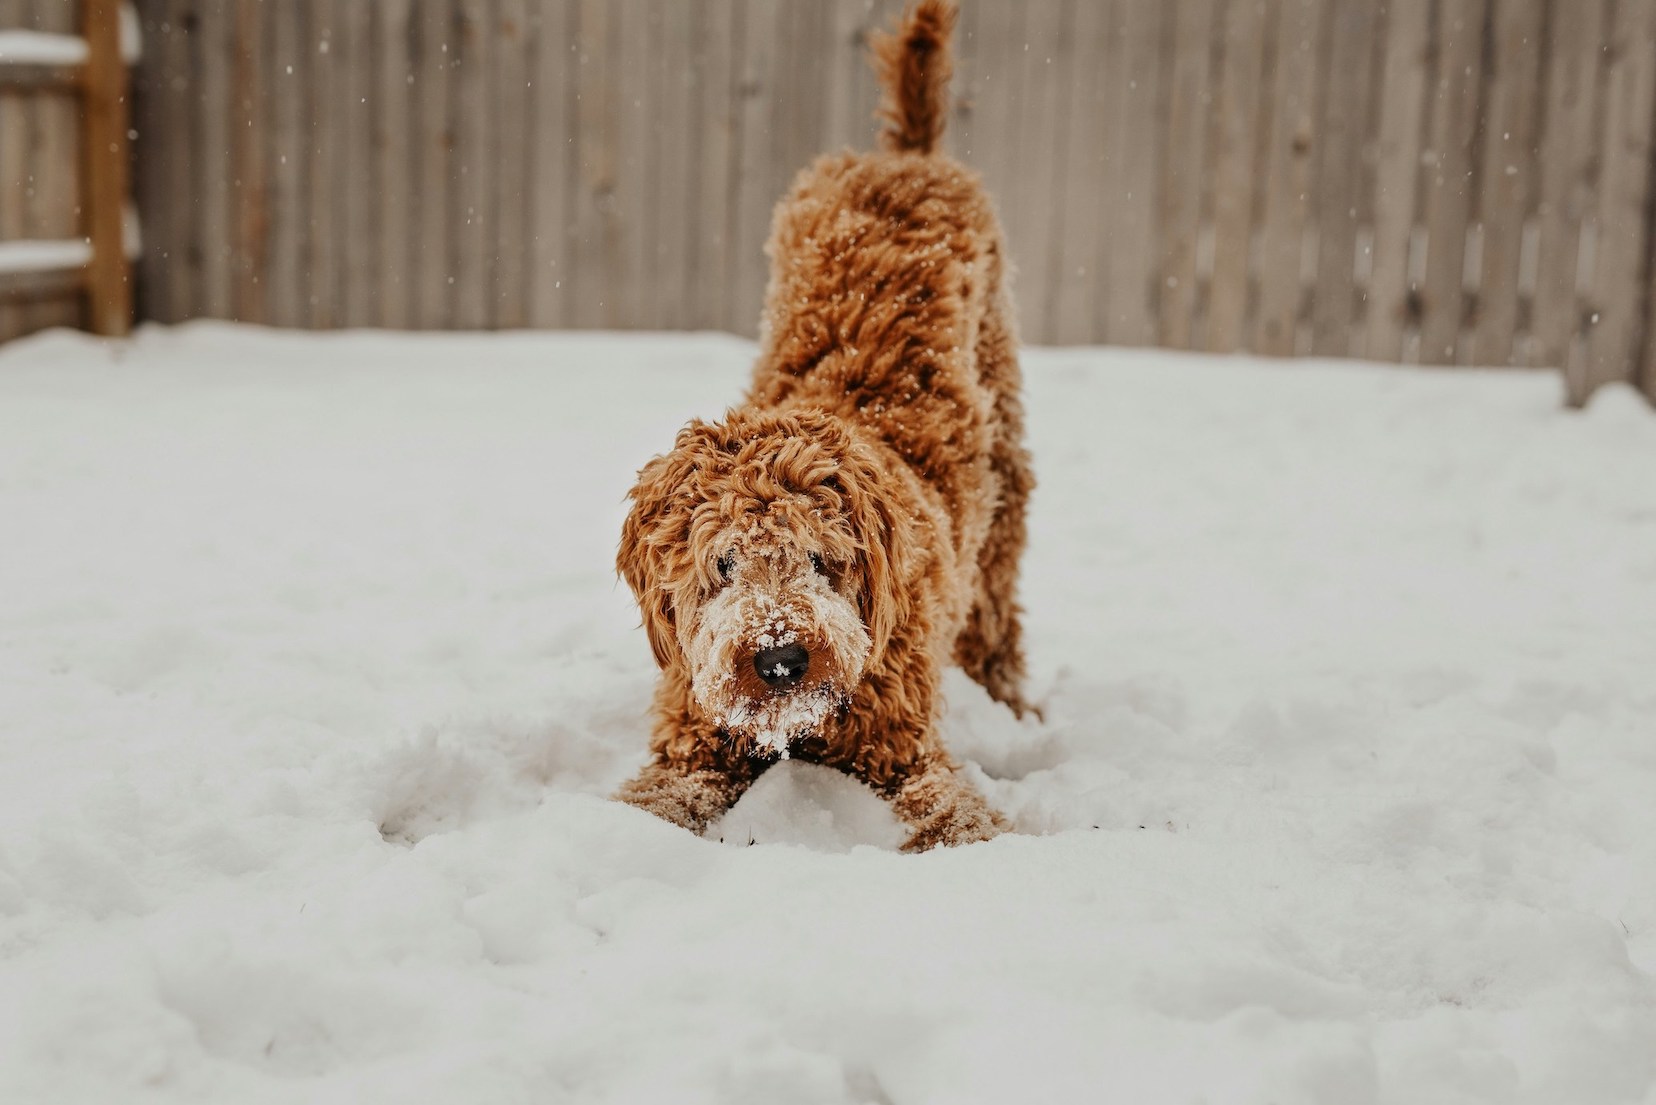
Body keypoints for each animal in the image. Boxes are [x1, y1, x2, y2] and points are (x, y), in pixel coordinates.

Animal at [622, 0, 1033, 854]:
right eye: (722, 564)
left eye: (822, 558)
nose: (780, 657)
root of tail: (904, 156)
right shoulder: (693, 734)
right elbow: (655, 797)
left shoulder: (904, 744)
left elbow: (955, 811)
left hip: (1006, 465)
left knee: (997, 605)